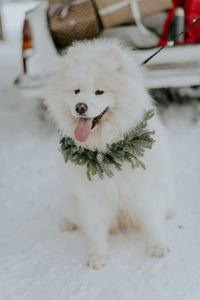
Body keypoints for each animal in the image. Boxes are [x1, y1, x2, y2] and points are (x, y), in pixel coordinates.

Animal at [45, 38, 173, 270]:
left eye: (99, 92)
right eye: (76, 91)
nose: (80, 107)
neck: (107, 152)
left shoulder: (144, 189)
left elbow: (151, 220)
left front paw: (156, 247)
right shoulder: (92, 196)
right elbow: (95, 230)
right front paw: (97, 257)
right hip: (71, 201)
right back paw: (67, 223)